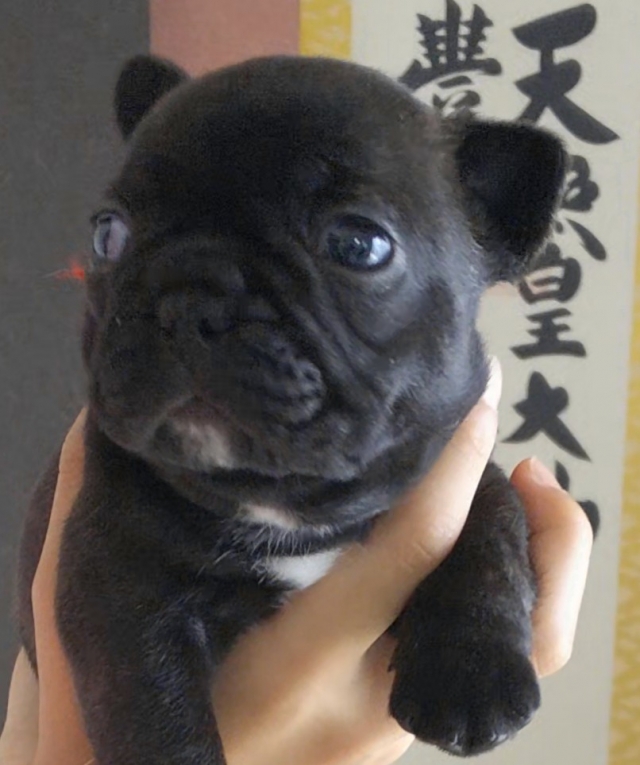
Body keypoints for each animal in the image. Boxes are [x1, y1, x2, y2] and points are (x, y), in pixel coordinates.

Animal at [16, 54, 568, 763]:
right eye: (108, 234)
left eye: (359, 245)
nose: (187, 299)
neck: (285, 504)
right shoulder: (116, 581)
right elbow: (153, 706)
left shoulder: (457, 460)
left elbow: (492, 524)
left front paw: (472, 676)